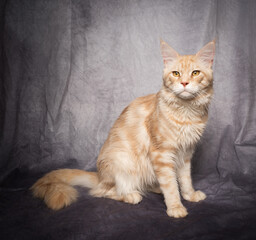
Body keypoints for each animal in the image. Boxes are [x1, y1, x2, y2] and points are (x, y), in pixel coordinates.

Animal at [32, 39, 216, 218]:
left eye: (195, 73)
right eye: (176, 73)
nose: (184, 83)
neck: (187, 113)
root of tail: (100, 176)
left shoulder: (185, 153)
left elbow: (185, 180)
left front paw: (189, 195)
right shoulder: (161, 154)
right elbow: (170, 185)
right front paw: (175, 207)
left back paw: (155, 188)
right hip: (122, 163)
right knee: (102, 191)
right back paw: (131, 195)